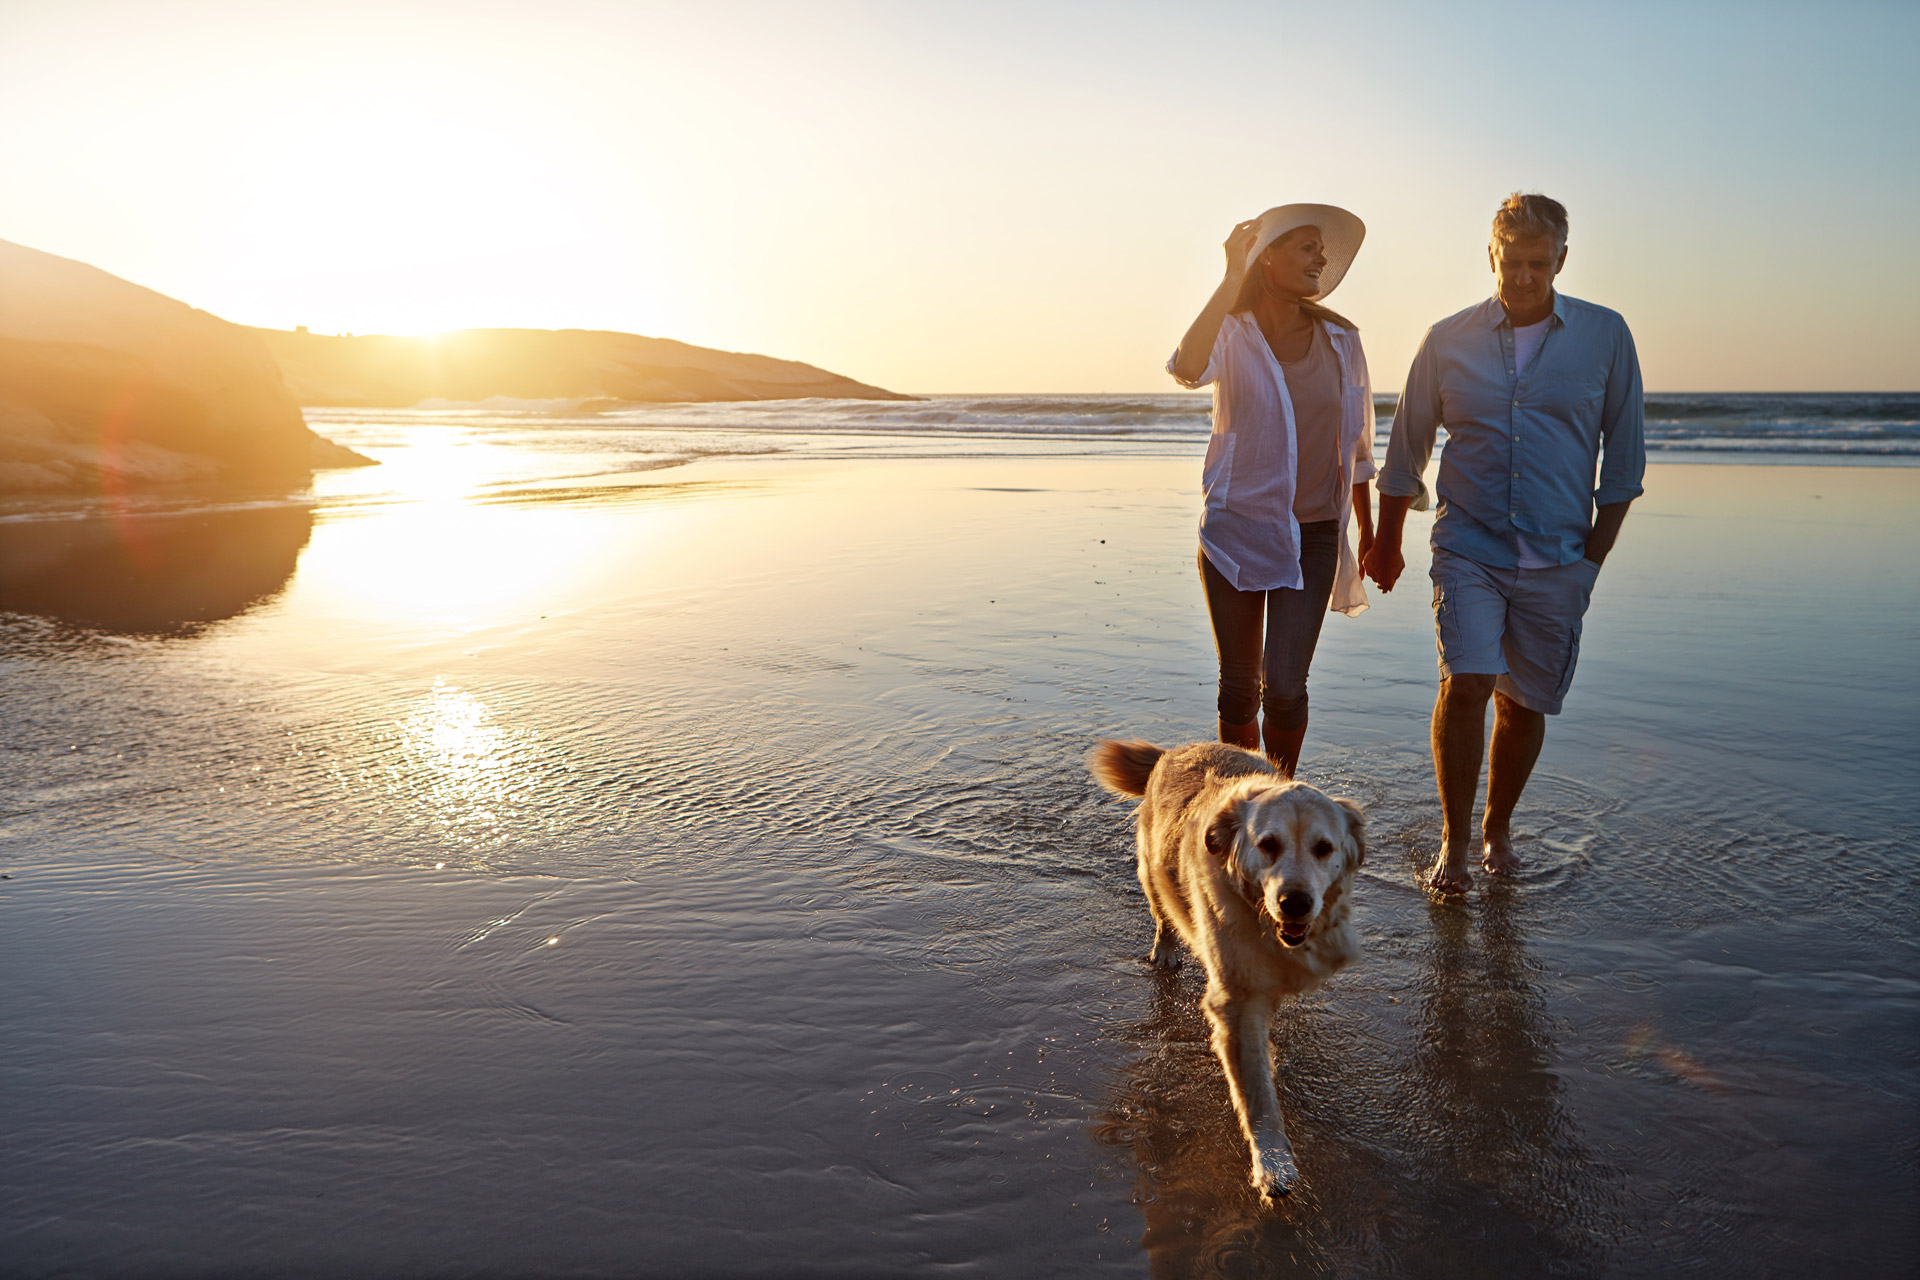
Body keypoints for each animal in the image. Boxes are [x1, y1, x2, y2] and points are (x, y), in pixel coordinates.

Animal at [1098, 740, 1367, 1205]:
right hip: (1151, 870)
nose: (1295, 903)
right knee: (1162, 912)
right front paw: (1273, 1165)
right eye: (1268, 844)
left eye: (1324, 848)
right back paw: (1165, 949)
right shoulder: (1236, 1001)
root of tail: (1177, 748)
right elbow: (1257, 1095)